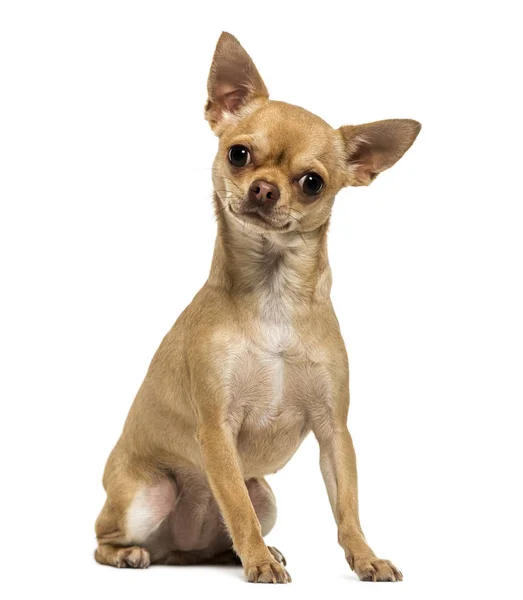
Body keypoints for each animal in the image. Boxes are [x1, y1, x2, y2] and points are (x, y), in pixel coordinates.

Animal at [94, 31, 422, 580]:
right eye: (239, 153)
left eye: (312, 182)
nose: (264, 188)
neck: (273, 295)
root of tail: (174, 551)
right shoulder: (217, 429)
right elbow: (235, 504)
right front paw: (260, 564)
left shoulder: (334, 432)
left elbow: (347, 507)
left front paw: (366, 557)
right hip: (148, 493)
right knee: (106, 537)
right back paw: (131, 554)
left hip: (265, 493)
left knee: (224, 528)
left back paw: (241, 551)